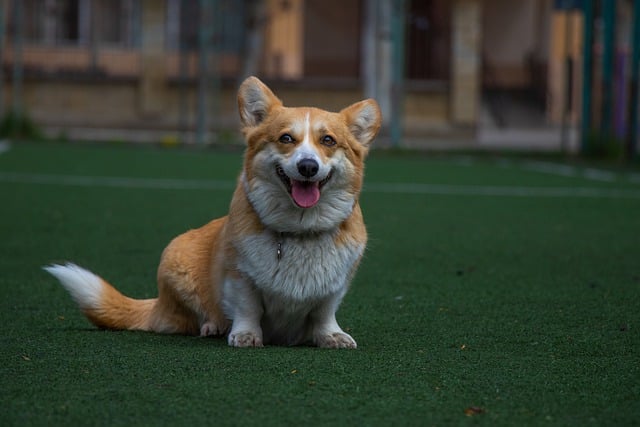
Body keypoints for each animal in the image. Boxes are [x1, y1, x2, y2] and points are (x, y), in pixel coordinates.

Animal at [47, 77, 382, 350]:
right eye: (286, 138)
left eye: (328, 141)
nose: (308, 167)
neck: (299, 229)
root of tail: (157, 305)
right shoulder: (239, 276)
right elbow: (248, 308)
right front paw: (246, 335)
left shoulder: (335, 287)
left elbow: (324, 313)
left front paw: (332, 336)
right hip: (176, 262)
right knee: (193, 317)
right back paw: (213, 326)